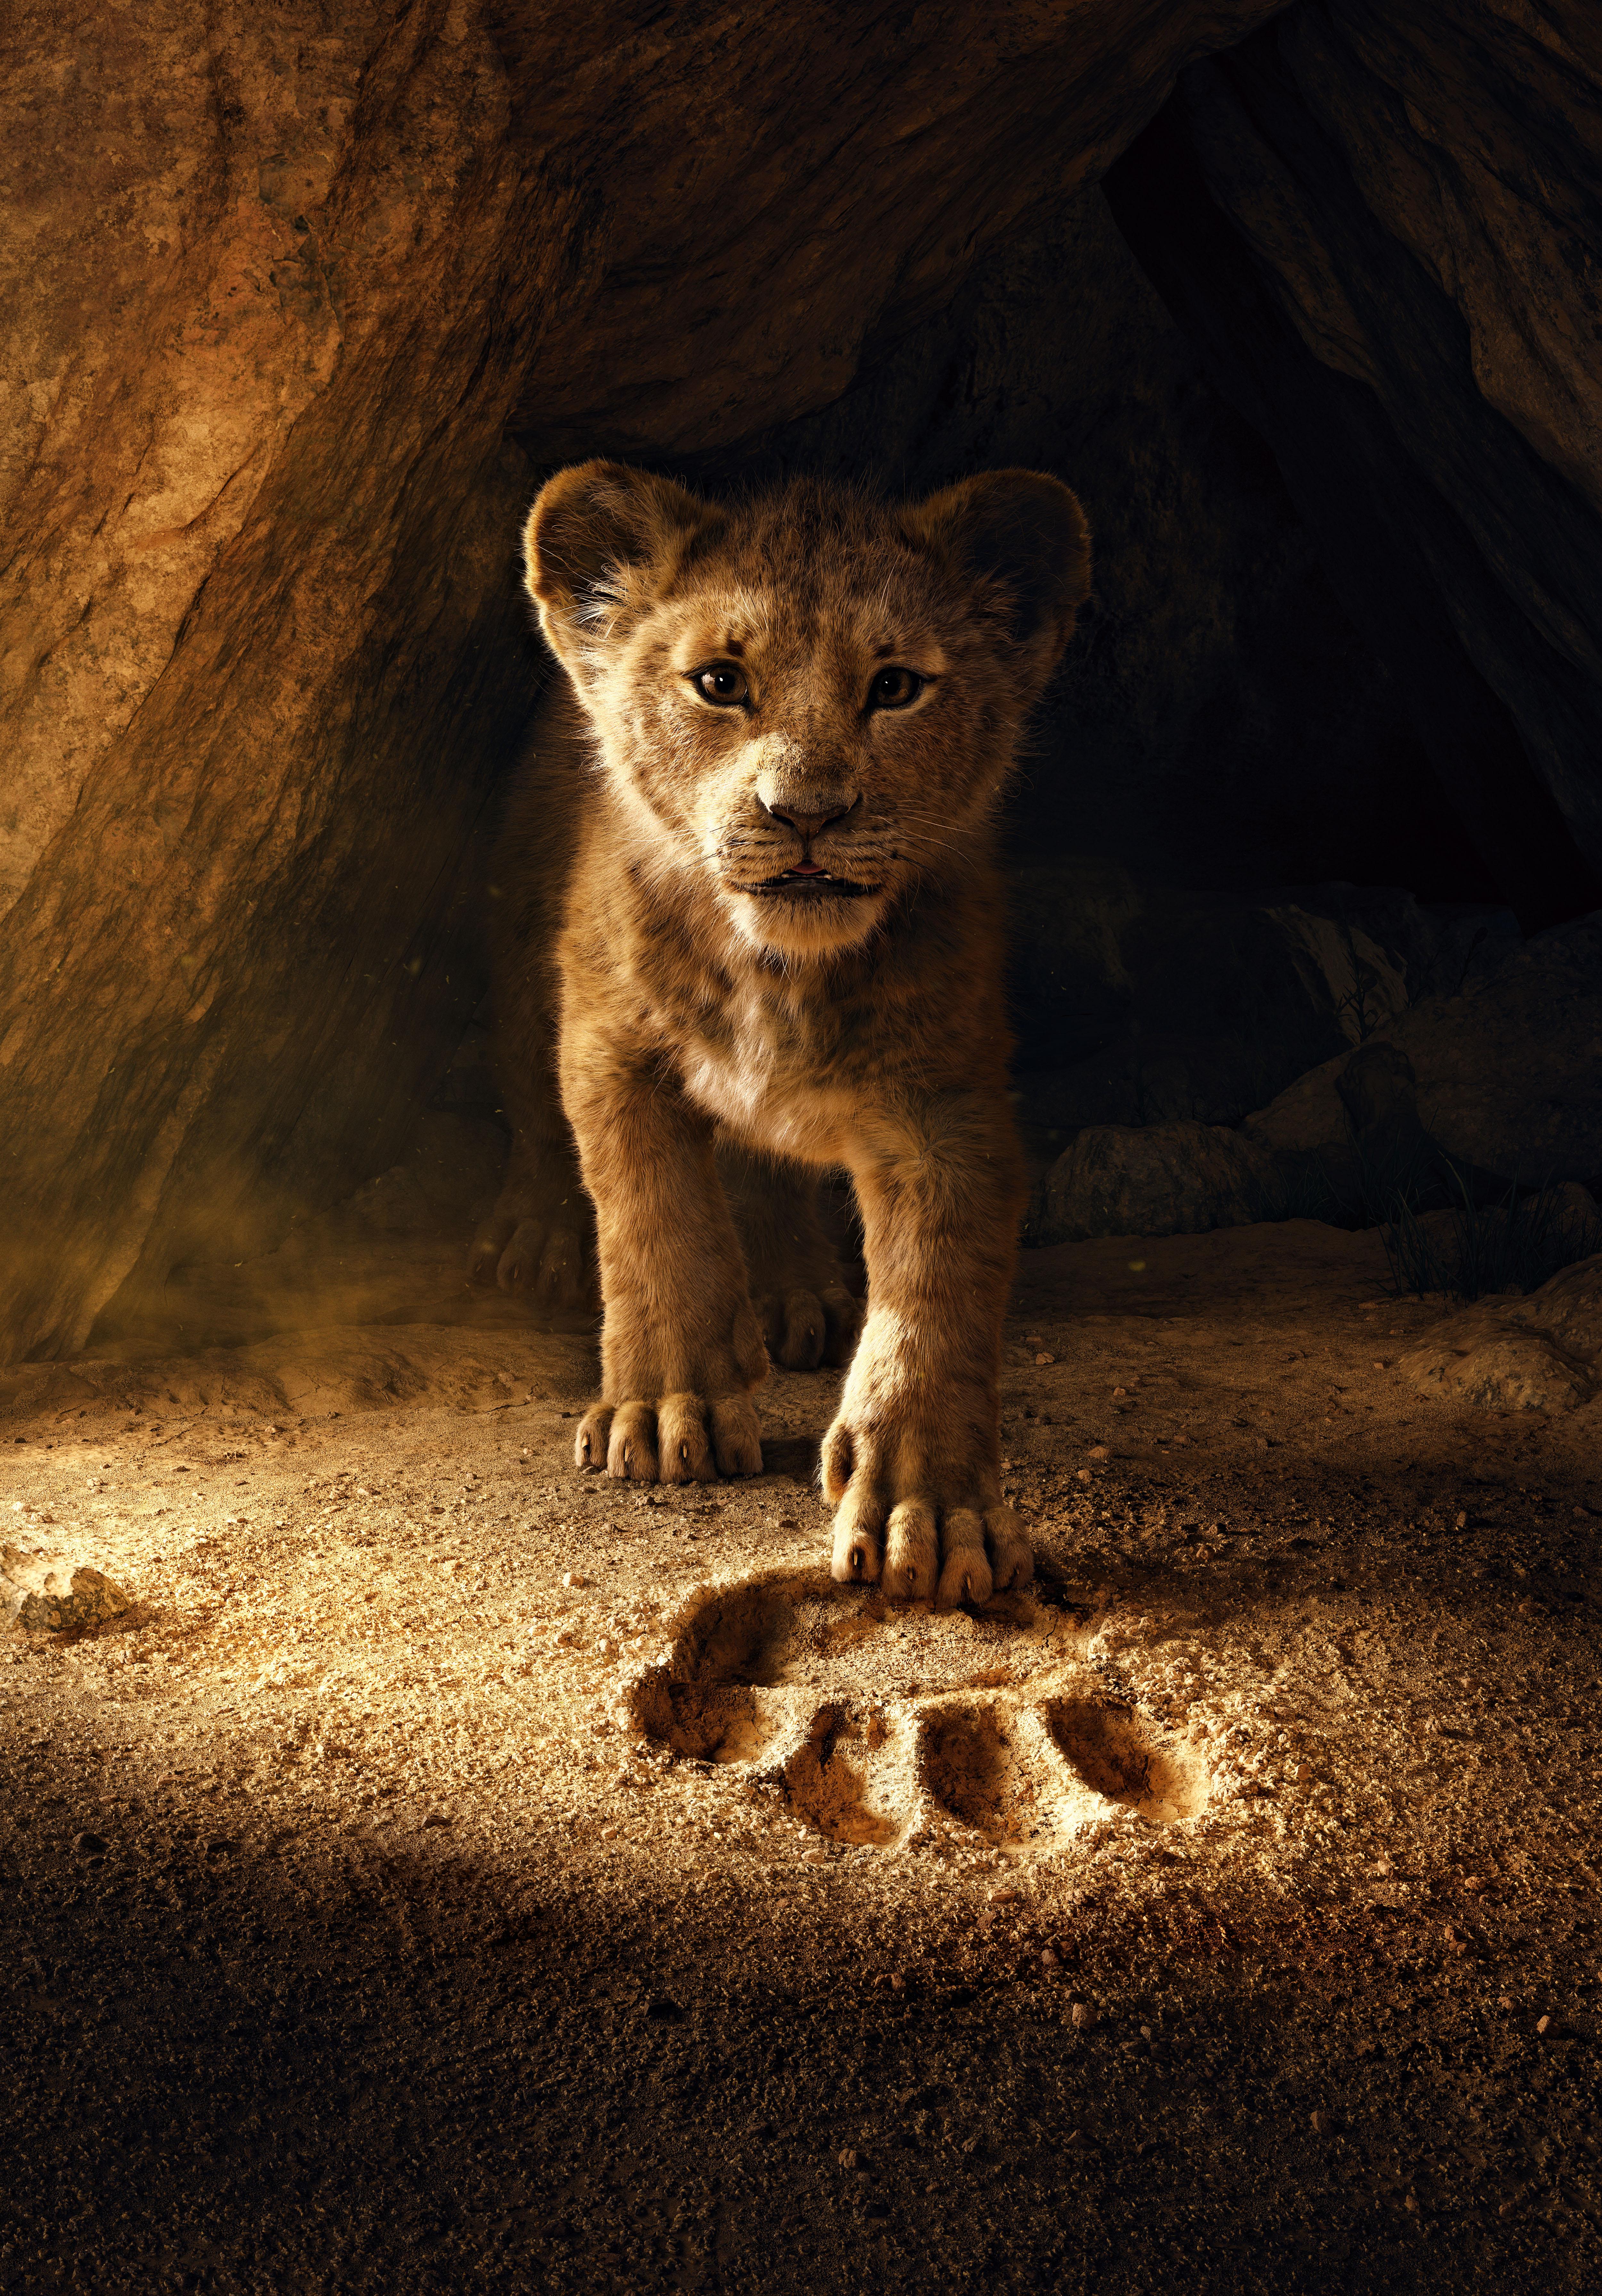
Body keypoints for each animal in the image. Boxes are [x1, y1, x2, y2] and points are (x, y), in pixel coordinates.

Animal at [470, 462, 1091, 1605]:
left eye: (895, 686)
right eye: (719, 681)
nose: (805, 812)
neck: (778, 971)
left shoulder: (947, 1102)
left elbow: (936, 1293)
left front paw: (928, 1508)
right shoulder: (609, 1043)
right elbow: (653, 1219)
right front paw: (665, 1408)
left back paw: (795, 1290)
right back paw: (534, 1236)